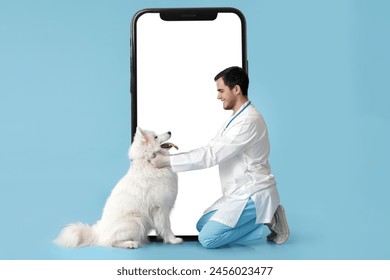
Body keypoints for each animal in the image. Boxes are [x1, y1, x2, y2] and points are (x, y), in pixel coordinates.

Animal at [53, 128, 183, 248]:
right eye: (156, 137)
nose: (170, 131)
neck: (148, 162)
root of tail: (98, 232)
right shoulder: (161, 208)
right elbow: (167, 226)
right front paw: (173, 240)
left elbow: (162, 227)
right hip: (136, 222)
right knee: (110, 242)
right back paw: (130, 243)